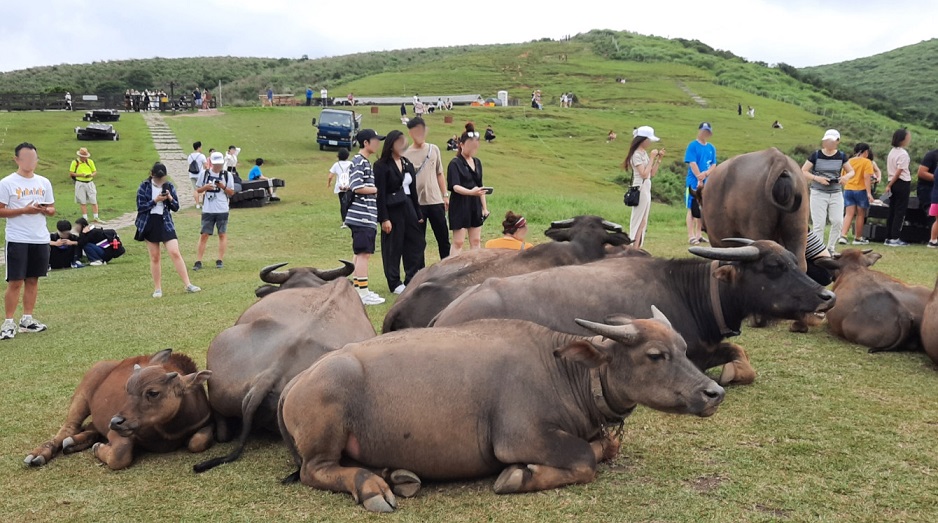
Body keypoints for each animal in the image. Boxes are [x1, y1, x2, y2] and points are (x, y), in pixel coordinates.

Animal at [23, 352, 214, 470]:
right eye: (127, 388)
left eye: (153, 392)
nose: (115, 421)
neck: (169, 430)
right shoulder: (117, 433)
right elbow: (120, 455)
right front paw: (98, 448)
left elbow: (197, 441)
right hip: (81, 397)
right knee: (68, 427)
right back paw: (39, 454)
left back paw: (74, 442)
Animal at [278, 312, 724, 512]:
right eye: (656, 355)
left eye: (684, 348)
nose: (714, 392)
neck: (562, 370)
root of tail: (297, 381)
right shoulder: (519, 437)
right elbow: (583, 458)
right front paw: (521, 475)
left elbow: (604, 448)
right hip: (326, 433)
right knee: (315, 470)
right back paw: (372, 486)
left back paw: (396, 475)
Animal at [432, 241, 832, 384]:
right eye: (775, 266)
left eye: (793, 260)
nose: (826, 295)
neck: (687, 294)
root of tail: (443, 316)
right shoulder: (693, 357)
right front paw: (732, 373)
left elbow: (739, 350)